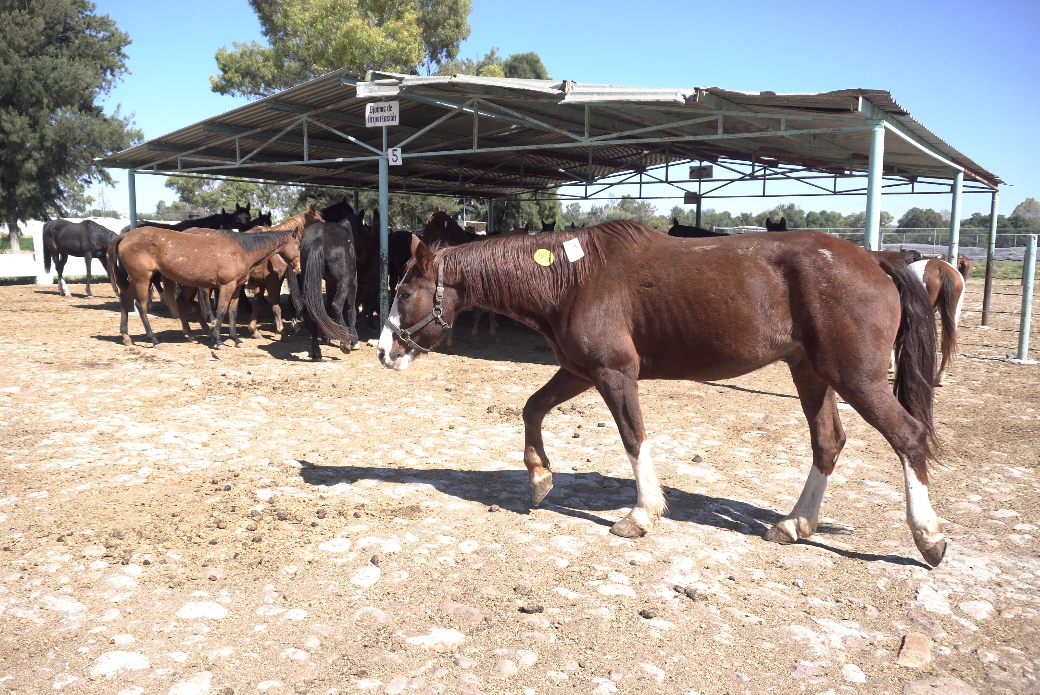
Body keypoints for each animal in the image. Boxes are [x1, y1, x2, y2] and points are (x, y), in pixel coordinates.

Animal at [111, 226, 303, 347]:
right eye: (298, 246)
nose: (299, 268)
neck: (241, 250)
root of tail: (125, 236)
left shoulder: (237, 287)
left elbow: (232, 312)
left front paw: (236, 339)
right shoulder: (226, 286)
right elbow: (222, 312)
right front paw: (218, 340)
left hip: (139, 280)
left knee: (126, 301)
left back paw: (126, 337)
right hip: (143, 279)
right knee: (142, 307)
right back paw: (154, 340)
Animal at [293, 221, 361, 364]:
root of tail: (319, 238)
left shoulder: (330, 284)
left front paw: (327, 336)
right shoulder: (352, 283)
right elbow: (351, 310)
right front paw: (354, 341)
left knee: (314, 312)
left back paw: (316, 352)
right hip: (344, 283)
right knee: (337, 306)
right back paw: (346, 341)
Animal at [382, 223, 952, 570]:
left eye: (405, 292)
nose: (384, 351)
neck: (573, 278)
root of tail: (876, 259)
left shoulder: (615, 374)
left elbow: (634, 438)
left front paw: (641, 514)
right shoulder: (579, 371)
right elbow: (532, 408)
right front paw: (541, 479)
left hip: (856, 378)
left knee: (908, 436)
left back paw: (928, 537)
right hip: (811, 372)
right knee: (828, 442)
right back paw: (795, 524)